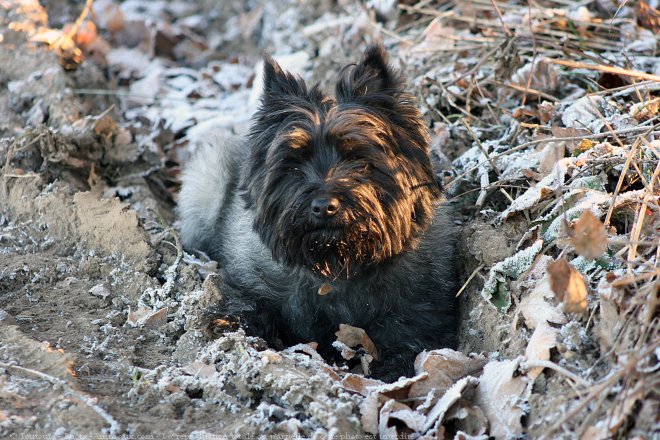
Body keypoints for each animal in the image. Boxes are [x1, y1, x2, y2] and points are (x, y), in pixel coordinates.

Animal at [178, 45, 462, 382]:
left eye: (359, 159)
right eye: (294, 163)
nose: (323, 206)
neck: (339, 265)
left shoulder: (421, 314)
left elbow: (409, 340)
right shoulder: (251, 282)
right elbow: (251, 303)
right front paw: (230, 325)